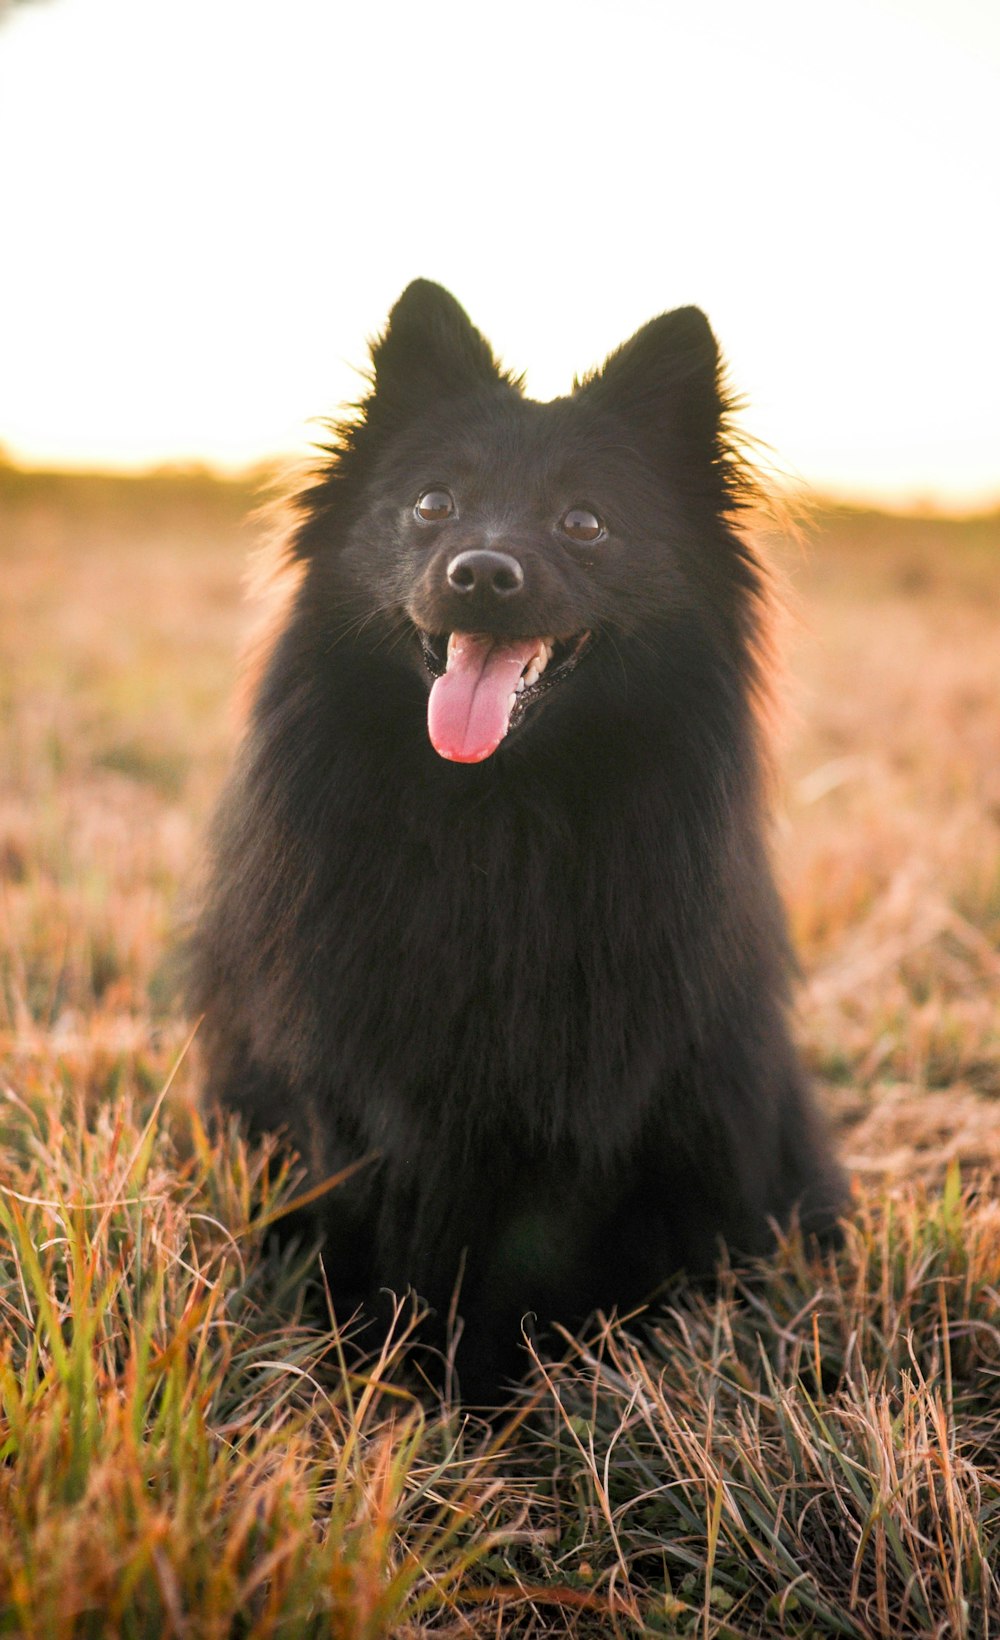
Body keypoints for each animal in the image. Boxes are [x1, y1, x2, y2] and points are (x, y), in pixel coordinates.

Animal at [188, 278, 839, 1397]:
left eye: (584, 522)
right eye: (431, 505)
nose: (482, 574)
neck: (493, 818)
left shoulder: (587, 1105)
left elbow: (521, 1272)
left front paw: (487, 1404)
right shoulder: (347, 1089)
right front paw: (374, 1381)